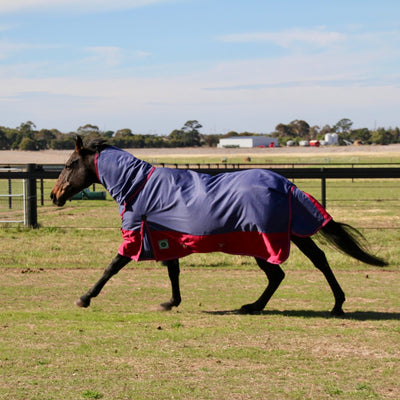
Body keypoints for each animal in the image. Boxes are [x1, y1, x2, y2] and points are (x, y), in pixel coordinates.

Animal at [50, 138, 388, 316]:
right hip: (289, 234)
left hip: (265, 240)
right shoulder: (166, 237)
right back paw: (328, 303)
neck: (139, 186)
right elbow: (173, 272)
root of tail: (286, 184)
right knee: (314, 261)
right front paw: (171, 302)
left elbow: (112, 266)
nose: (54, 195)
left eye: (68, 165)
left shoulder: (137, 237)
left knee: (282, 272)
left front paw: (85, 297)